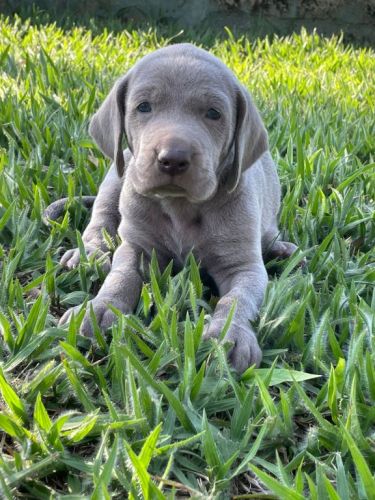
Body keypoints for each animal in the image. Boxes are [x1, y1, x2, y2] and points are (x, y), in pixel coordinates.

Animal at [59, 44, 300, 372]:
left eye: (213, 113)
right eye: (143, 107)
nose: (172, 158)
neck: (180, 205)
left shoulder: (244, 266)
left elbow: (238, 298)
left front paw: (231, 335)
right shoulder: (137, 247)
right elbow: (121, 275)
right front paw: (99, 308)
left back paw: (282, 249)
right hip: (118, 172)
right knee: (101, 216)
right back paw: (90, 253)